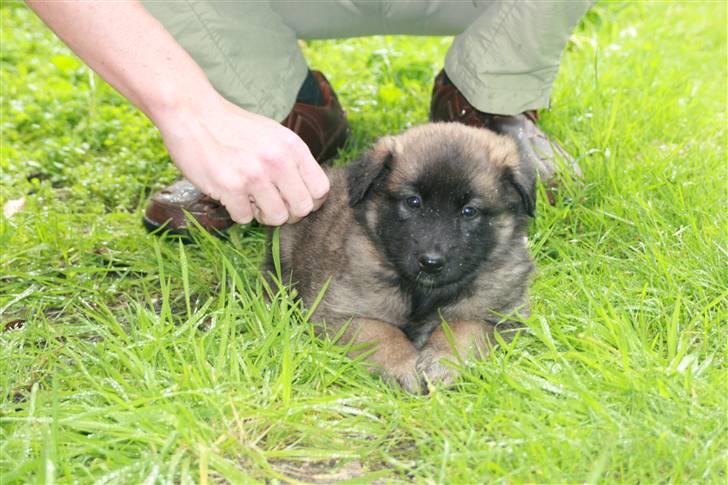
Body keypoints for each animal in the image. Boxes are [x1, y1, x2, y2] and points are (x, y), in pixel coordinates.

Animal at [266, 123, 536, 392]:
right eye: (413, 202)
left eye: (469, 211)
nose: (431, 262)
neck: (422, 292)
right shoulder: (341, 311)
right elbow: (381, 333)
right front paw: (402, 365)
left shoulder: (501, 313)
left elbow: (463, 328)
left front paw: (443, 360)